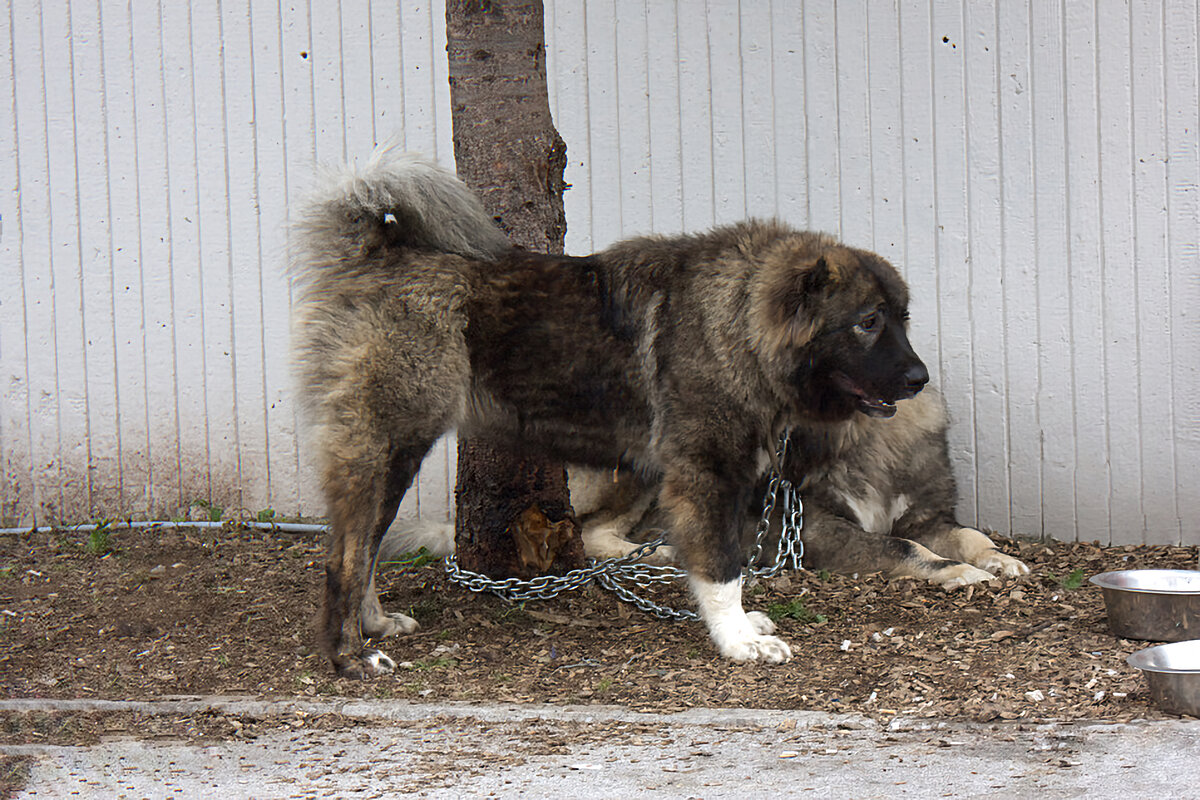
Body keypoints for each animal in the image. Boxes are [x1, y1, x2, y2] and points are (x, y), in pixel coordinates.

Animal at [295, 142, 969, 676]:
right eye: (867, 322)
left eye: (900, 319)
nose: (918, 378)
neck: (738, 322)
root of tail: (375, 253)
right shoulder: (706, 470)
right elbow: (721, 564)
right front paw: (737, 640)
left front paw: (740, 624)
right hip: (388, 444)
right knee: (344, 555)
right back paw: (349, 655)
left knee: (365, 546)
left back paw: (376, 626)